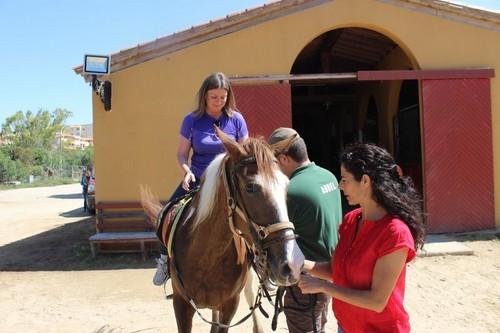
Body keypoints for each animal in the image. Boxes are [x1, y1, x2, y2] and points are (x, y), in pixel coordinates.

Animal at [142, 126, 304, 330]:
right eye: (251, 188)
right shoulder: (181, 304)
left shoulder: (229, 305)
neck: (206, 256)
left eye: (286, 186)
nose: (293, 264)